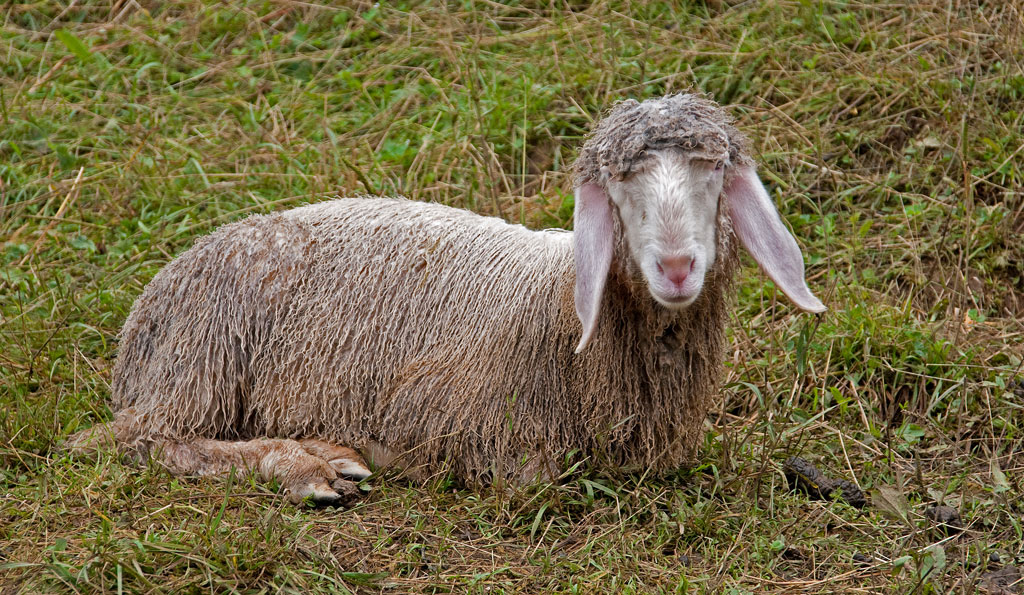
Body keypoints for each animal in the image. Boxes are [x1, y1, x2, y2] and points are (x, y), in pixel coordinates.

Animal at [68, 93, 826, 505]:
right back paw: (308, 466)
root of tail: (145, 313)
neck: (561, 307)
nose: (674, 267)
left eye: (712, 173)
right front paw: (392, 456)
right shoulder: (461, 414)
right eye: (619, 187)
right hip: (201, 361)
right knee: (140, 442)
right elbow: (530, 476)